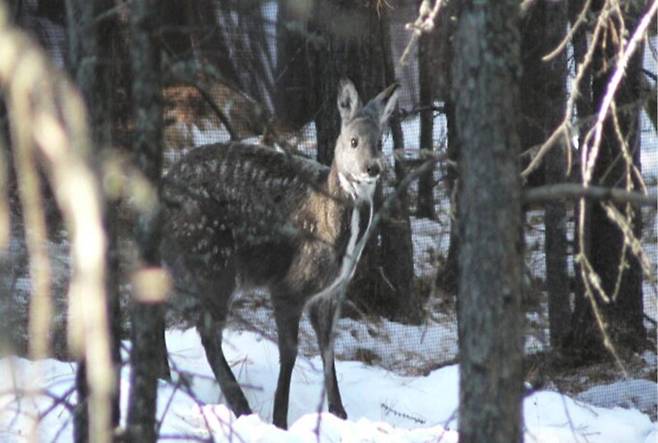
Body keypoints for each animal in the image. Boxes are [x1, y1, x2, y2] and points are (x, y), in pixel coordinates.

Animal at [161, 78, 398, 428]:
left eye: (380, 141)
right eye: (353, 140)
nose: (373, 168)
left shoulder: (330, 293)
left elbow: (328, 350)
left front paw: (339, 414)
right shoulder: (289, 285)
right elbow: (290, 353)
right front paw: (280, 419)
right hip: (213, 260)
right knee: (205, 331)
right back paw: (240, 405)